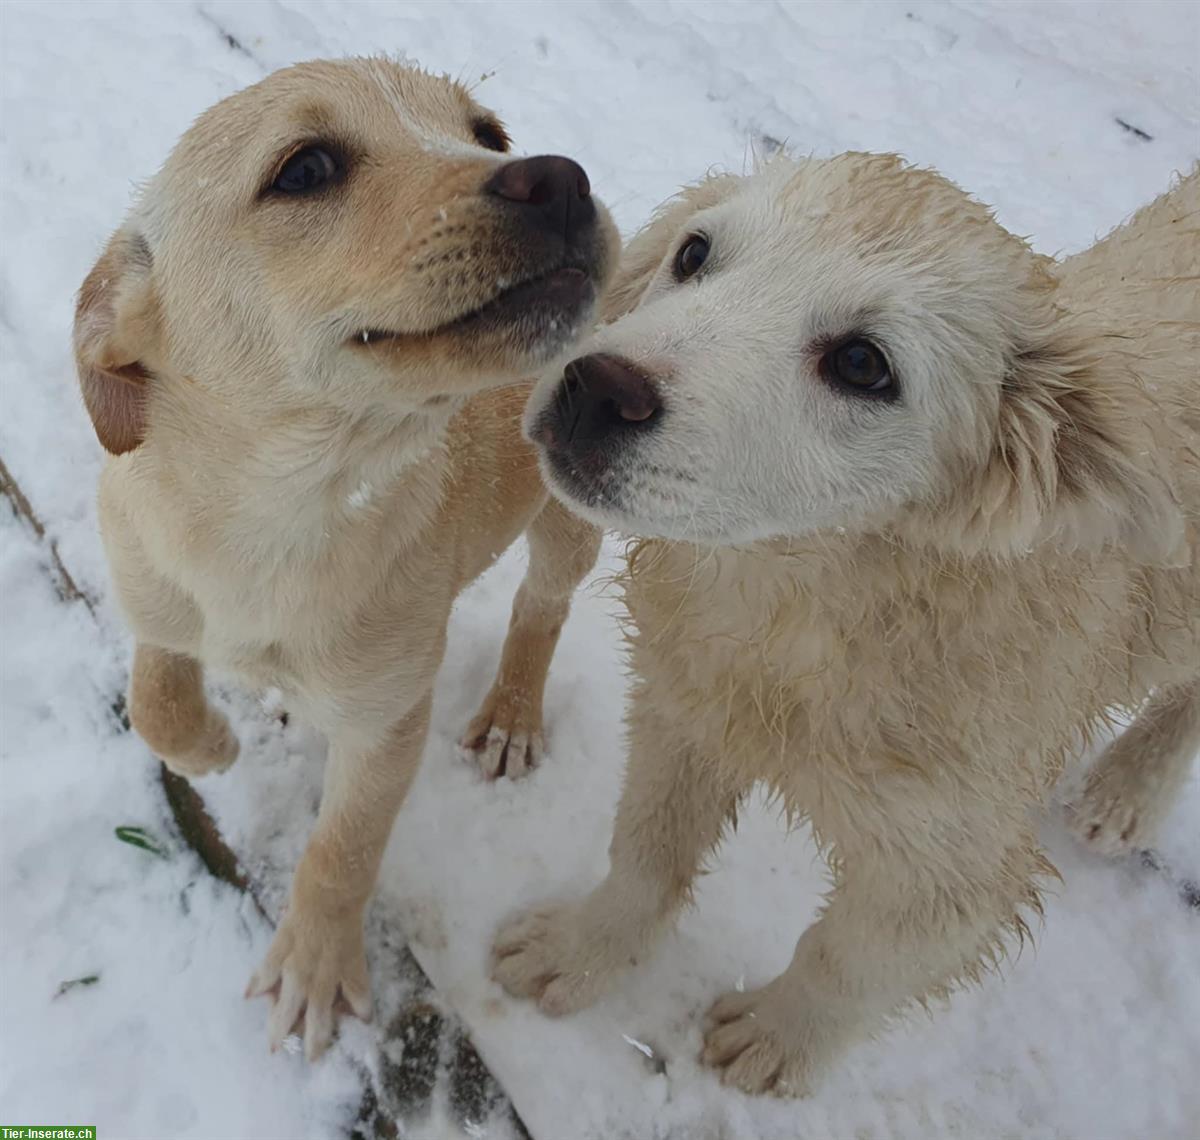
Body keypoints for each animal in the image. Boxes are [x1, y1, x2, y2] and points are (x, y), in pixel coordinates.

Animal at [73, 60, 614, 1060]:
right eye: (306, 168)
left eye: (488, 133)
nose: (561, 177)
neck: (274, 517)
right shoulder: (150, 590)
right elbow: (156, 699)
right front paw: (213, 744)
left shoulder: (388, 719)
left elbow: (342, 849)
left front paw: (316, 966)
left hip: (572, 504)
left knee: (542, 607)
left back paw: (512, 712)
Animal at [492, 158, 1195, 1099]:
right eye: (695, 252)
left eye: (864, 363)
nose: (596, 388)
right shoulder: (693, 704)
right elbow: (646, 849)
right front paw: (579, 951)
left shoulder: (953, 855)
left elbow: (851, 961)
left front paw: (773, 1040)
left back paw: (1129, 790)